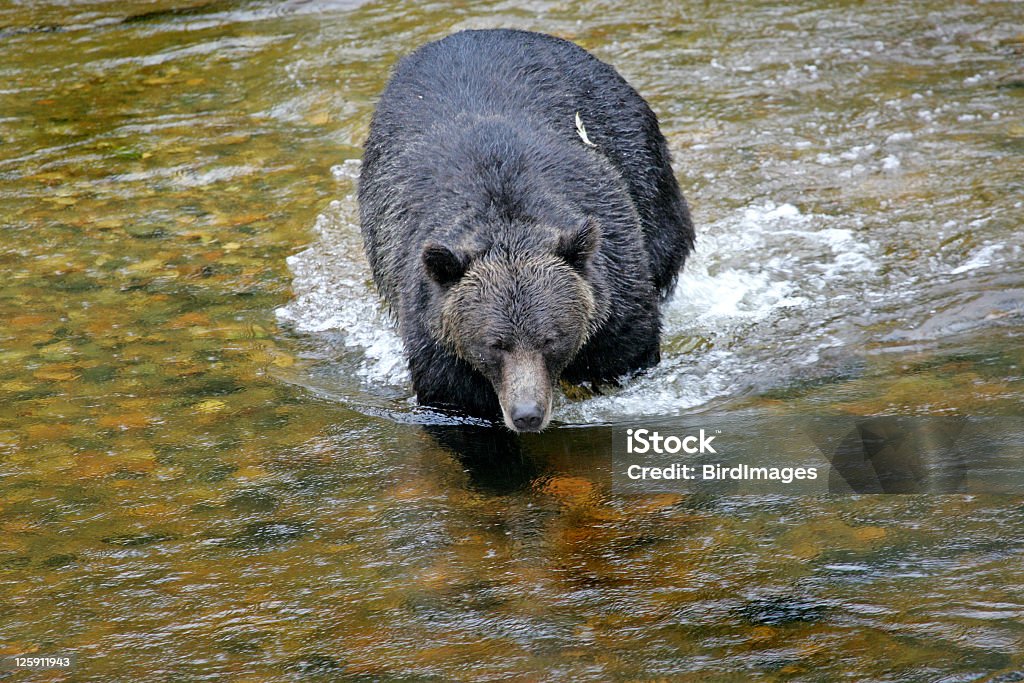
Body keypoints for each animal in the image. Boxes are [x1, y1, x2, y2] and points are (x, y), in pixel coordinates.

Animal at [360, 29, 696, 432]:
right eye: (495, 344)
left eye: (550, 339)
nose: (527, 414)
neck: (505, 217)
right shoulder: (436, 333)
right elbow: (455, 404)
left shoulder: (615, 284)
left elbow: (624, 353)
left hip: (641, 166)